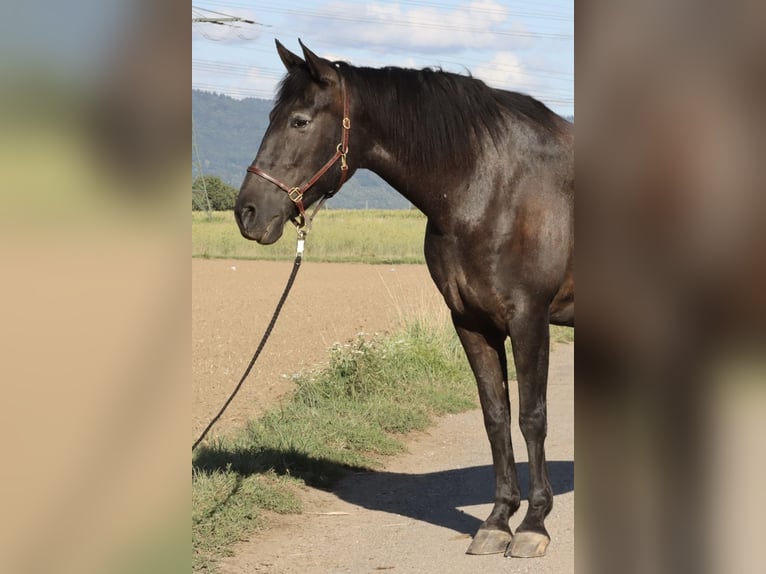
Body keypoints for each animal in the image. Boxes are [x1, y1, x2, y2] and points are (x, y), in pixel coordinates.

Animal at [235, 40, 574, 559]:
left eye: (299, 121)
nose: (247, 212)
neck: (491, 187)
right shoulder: (471, 322)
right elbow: (495, 416)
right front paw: (498, 521)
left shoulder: (529, 320)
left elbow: (532, 418)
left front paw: (534, 525)